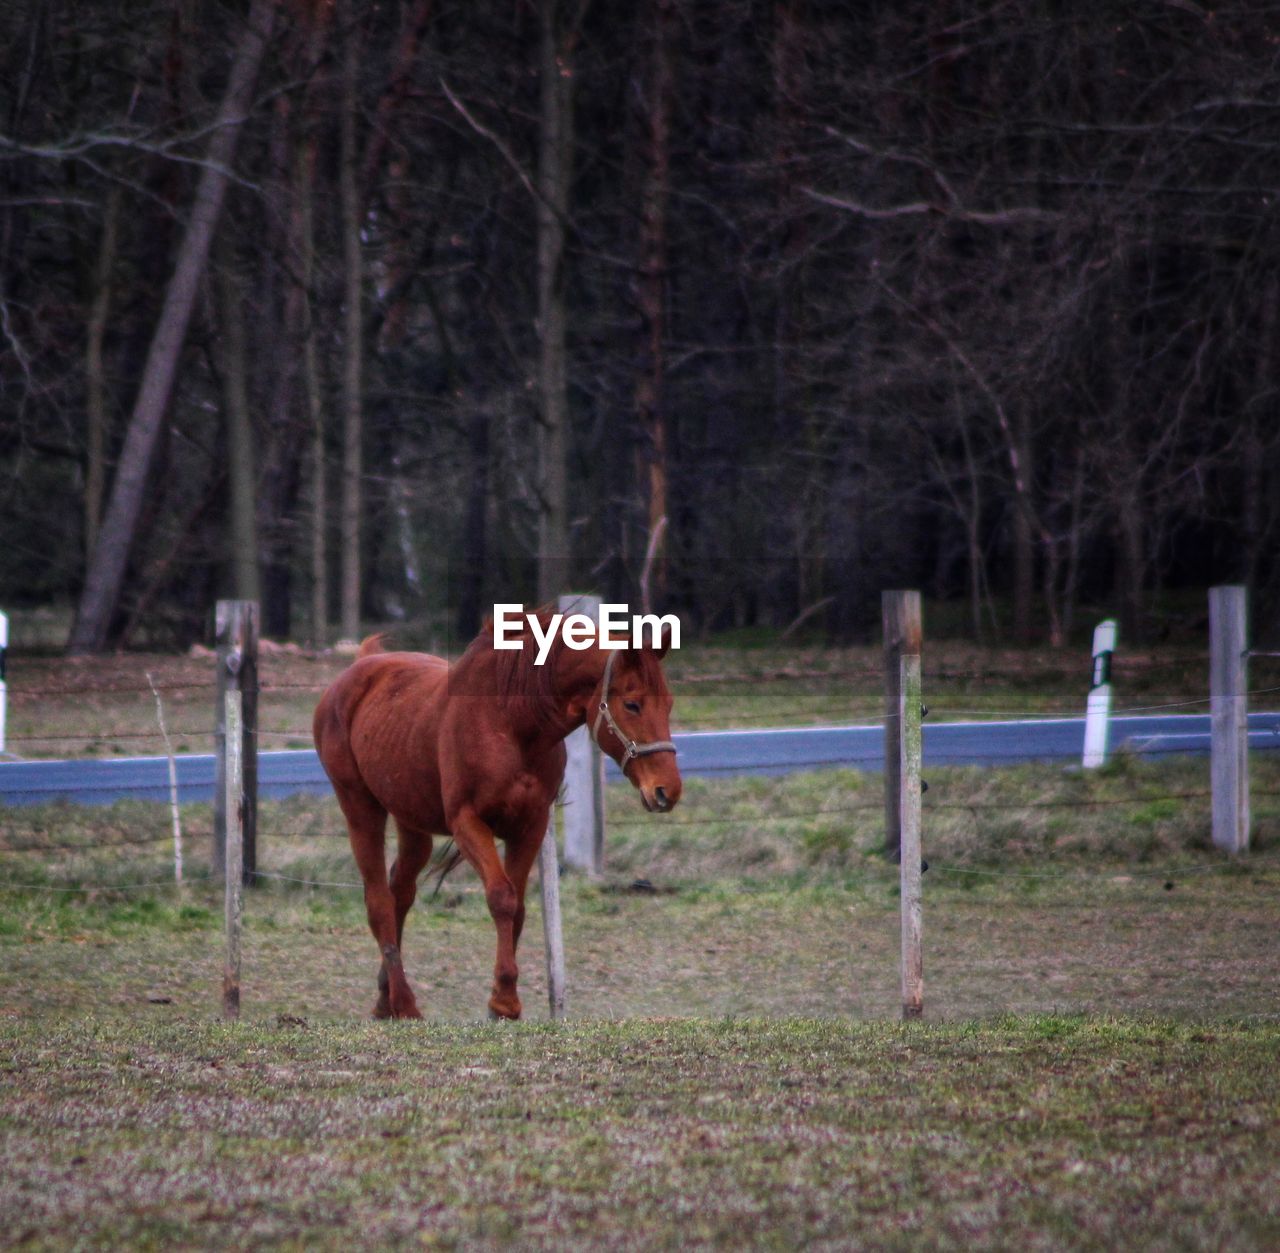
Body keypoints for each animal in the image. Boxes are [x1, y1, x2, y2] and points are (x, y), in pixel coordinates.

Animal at [312, 614, 680, 1018]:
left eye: (668, 704)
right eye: (632, 705)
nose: (667, 790)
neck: (510, 724)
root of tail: (359, 669)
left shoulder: (530, 827)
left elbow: (516, 907)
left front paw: (505, 997)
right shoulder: (468, 823)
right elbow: (501, 898)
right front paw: (503, 1002)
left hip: (411, 822)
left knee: (400, 893)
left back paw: (385, 998)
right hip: (360, 808)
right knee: (378, 900)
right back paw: (405, 1003)